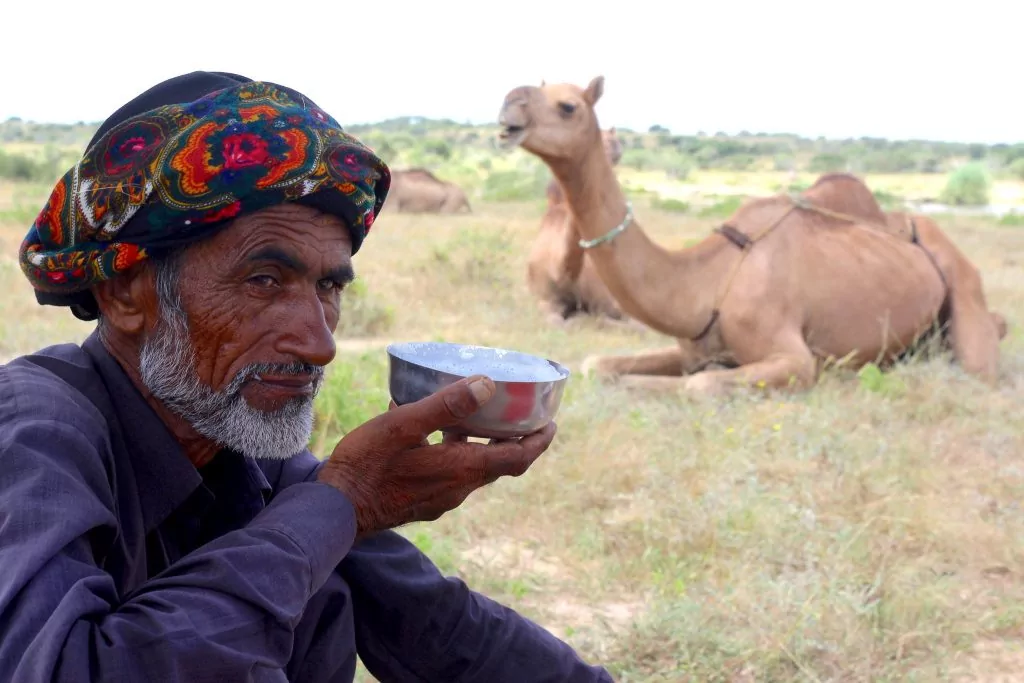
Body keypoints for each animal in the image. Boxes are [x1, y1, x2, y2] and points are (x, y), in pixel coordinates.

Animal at [496, 76, 1007, 394]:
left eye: (568, 105)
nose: (508, 107)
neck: (705, 280)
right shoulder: (688, 345)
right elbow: (596, 365)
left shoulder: (792, 358)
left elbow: (701, 385)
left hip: (965, 296)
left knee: (979, 362)